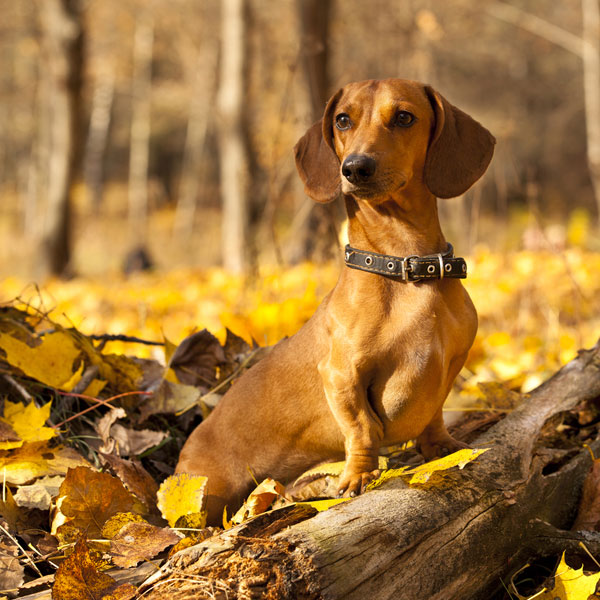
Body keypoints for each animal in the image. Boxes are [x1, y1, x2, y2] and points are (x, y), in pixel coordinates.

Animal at [176, 78, 494, 524]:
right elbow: (361, 428)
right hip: (209, 494)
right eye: (343, 120)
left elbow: (434, 416)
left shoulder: (450, 365)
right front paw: (358, 476)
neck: (405, 269)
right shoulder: (342, 374)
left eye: (404, 117)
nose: (356, 168)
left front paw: (443, 448)